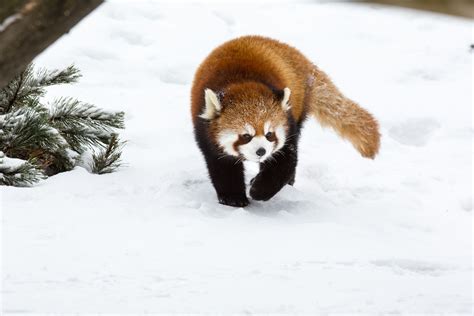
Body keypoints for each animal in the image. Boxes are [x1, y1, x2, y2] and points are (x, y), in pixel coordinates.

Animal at [191, 35, 380, 207]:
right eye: (246, 136)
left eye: (269, 134)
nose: (261, 151)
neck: (242, 82)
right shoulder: (205, 134)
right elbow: (222, 166)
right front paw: (233, 198)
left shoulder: (288, 125)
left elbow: (284, 161)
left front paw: (259, 190)